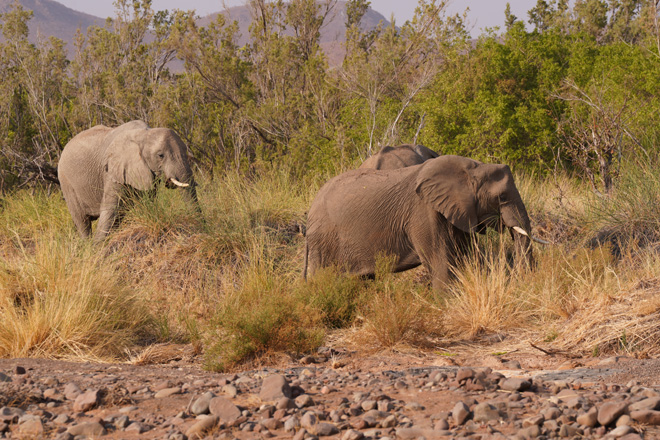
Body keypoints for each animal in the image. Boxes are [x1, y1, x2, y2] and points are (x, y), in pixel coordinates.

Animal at [57, 119, 197, 241]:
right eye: (160, 155)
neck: (144, 134)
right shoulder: (112, 170)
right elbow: (111, 208)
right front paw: (97, 247)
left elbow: (146, 201)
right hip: (66, 183)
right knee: (82, 221)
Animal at [306, 156, 544, 290]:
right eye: (502, 197)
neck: (473, 168)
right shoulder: (423, 211)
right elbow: (440, 259)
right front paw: (446, 303)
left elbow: (464, 257)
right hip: (324, 240)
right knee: (322, 279)